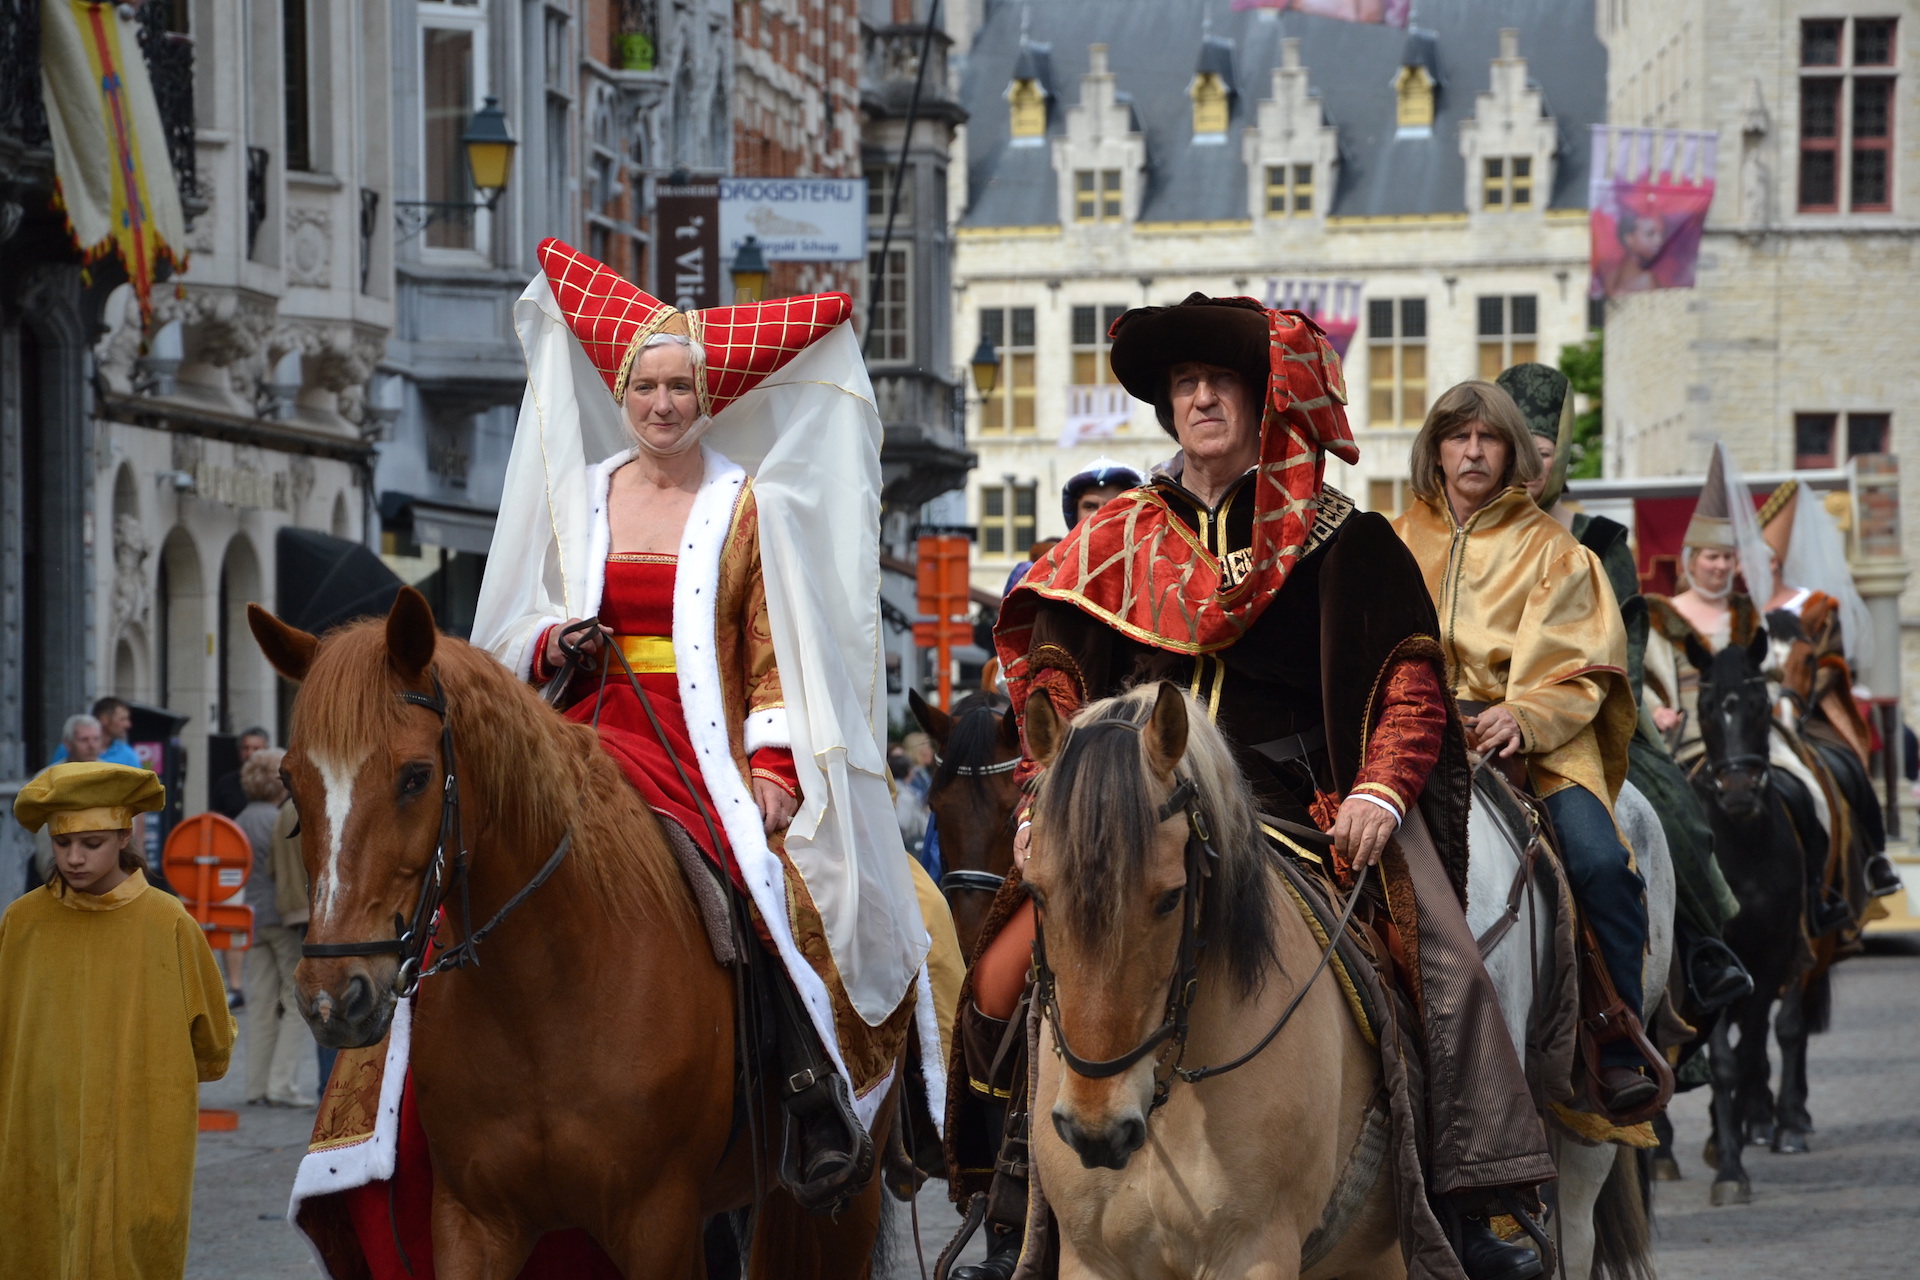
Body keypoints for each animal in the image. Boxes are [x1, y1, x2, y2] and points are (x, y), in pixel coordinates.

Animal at [247, 591, 898, 1280]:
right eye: (289, 781)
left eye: (416, 776)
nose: (332, 997)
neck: (544, 996)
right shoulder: (472, 1222)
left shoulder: (657, 1222)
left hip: (840, 1196)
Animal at [1689, 629, 1835, 1205]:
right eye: (1706, 710)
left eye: (1759, 705)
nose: (1738, 792)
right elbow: (1725, 1061)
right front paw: (1729, 1168)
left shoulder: (1772, 956)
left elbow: (1751, 1051)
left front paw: (1733, 1145)